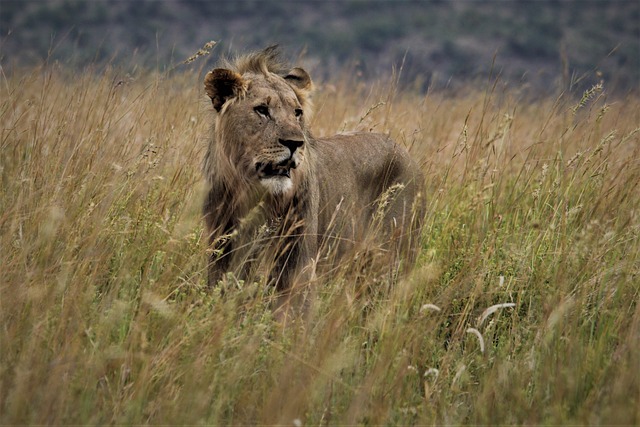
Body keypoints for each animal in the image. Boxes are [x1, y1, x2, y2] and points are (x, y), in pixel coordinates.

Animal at [202, 46, 428, 310]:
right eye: (262, 110)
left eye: (297, 113)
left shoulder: (297, 267)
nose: (295, 143)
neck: (253, 195)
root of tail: (406, 153)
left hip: (393, 258)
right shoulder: (221, 253)